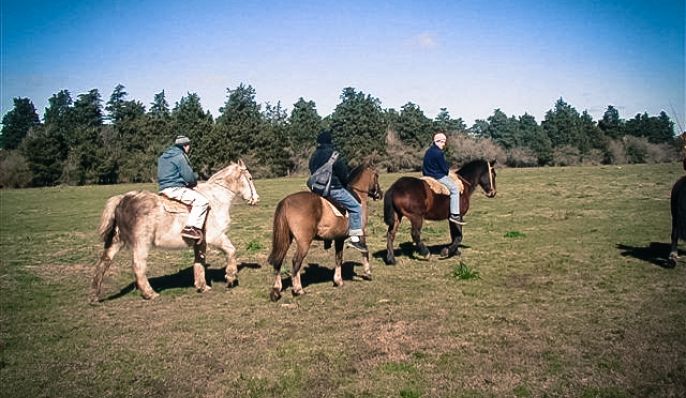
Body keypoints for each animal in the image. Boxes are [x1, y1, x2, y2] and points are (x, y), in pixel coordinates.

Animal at [90, 159, 260, 302]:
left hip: (115, 242)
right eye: (250, 178)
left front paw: (202, 286)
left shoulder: (201, 243)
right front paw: (230, 277)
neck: (216, 199)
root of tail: (122, 200)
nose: (256, 199)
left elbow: (199, 262)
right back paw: (150, 293)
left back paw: (94, 296)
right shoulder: (216, 237)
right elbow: (231, 251)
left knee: (103, 263)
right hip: (142, 244)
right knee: (138, 266)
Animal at [268, 163, 384, 300]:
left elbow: (338, 258)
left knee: (279, 260)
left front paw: (338, 281)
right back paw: (298, 289)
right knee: (296, 261)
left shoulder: (339, 238)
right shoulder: (360, 233)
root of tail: (286, 201)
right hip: (304, 242)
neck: (358, 196)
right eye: (376, 175)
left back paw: (277, 289)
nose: (380, 194)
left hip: (286, 239)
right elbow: (365, 251)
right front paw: (368, 272)